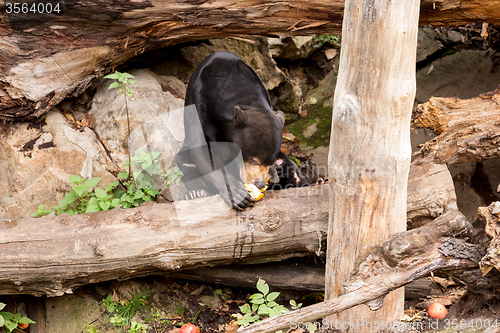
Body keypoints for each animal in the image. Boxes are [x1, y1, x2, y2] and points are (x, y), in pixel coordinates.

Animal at [175, 50, 308, 209]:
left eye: (270, 162)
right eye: (254, 161)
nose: (260, 183)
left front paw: (273, 173)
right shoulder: (200, 103)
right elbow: (203, 151)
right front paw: (238, 194)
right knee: (186, 162)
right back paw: (196, 192)